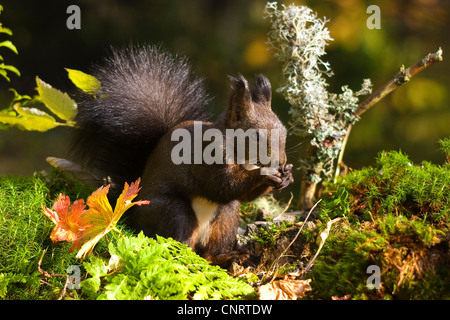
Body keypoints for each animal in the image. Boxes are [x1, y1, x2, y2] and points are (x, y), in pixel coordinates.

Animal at [70, 43, 294, 266]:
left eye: (284, 131)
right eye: (256, 135)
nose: (281, 162)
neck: (243, 158)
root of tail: (133, 213)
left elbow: (243, 195)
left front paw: (287, 176)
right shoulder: (208, 156)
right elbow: (223, 185)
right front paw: (265, 175)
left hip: (226, 217)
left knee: (211, 252)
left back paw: (230, 255)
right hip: (174, 213)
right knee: (180, 242)